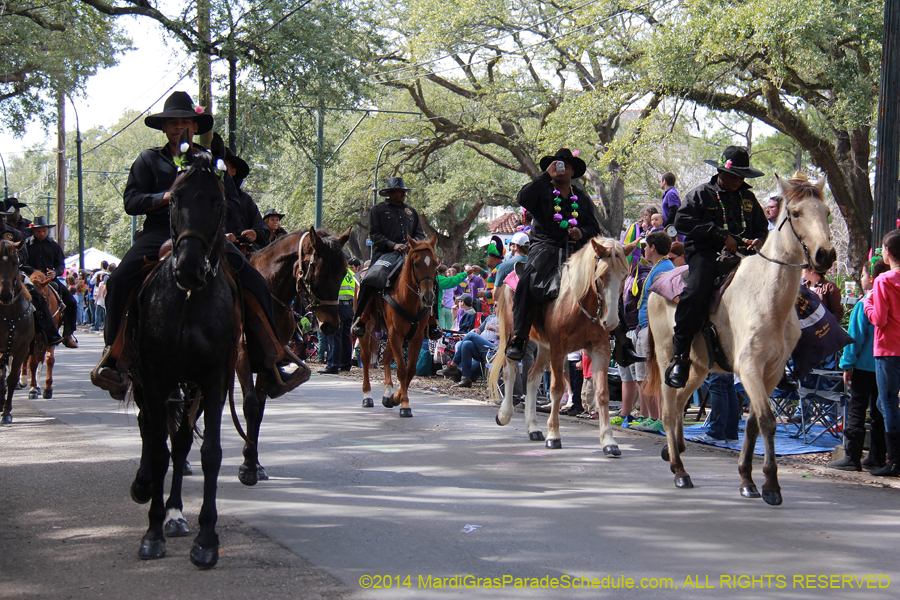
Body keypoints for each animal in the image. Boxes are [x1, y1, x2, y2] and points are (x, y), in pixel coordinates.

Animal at [128, 131, 239, 568]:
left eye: (219, 202)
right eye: (174, 199)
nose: (189, 268)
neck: (189, 300)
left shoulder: (212, 381)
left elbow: (208, 452)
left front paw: (206, 540)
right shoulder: (156, 378)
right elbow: (157, 450)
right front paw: (152, 533)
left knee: (179, 443)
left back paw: (175, 513)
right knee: (150, 431)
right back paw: (145, 489)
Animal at [362, 234, 440, 418]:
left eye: (435, 263)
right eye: (416, 263)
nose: (428, 298)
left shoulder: (416, 337)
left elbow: (410, 370)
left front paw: (396, 398)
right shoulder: (396, 334)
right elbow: (402, 371)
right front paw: (404, 405)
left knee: (385, 358)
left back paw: (387, 394)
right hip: (367, 331)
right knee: (366, 358)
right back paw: (367, 396)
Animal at [488, 237, 636, 452]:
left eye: (624, 276)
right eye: (600, 276)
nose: (611, 322)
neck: (577, 304)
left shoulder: (600, 349)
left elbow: (602, 393)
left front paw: (609, 441)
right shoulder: (559, 349)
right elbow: (557, 390)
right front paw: (554, 435)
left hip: (544, 347)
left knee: (532, 377)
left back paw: (533, 428)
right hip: (513, 335)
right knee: (510, 370)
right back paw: (504, 414)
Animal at [648, 175, 836, 506]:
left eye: (827, 213)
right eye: (796, 213)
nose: (825, 255)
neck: (770, 300)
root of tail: (654, 284)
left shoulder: (771, 372)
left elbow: (752, 422)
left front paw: (748, 479)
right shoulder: (749, 367)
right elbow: (767, 420)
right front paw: (771, 486)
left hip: (699, 367)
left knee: (681, 402)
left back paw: (674, 451)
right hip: (667, 356)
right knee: (670, 409)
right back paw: (680, 470)